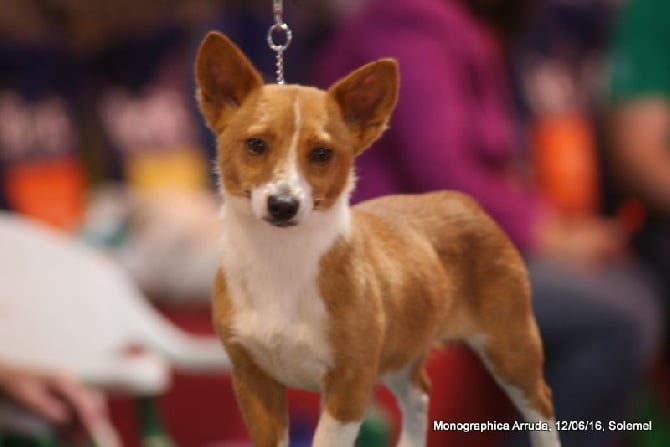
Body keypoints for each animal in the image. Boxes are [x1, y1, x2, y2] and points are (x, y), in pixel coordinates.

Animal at [196, 32, 560, 447]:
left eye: (322, 153)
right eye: (255, 145)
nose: (283, 205)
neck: (281, 259)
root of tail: (462, 200)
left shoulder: (350, 387)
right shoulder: (253, 382)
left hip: (511, 346)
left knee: (540, 406)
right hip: (403, 352)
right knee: (420, 394)